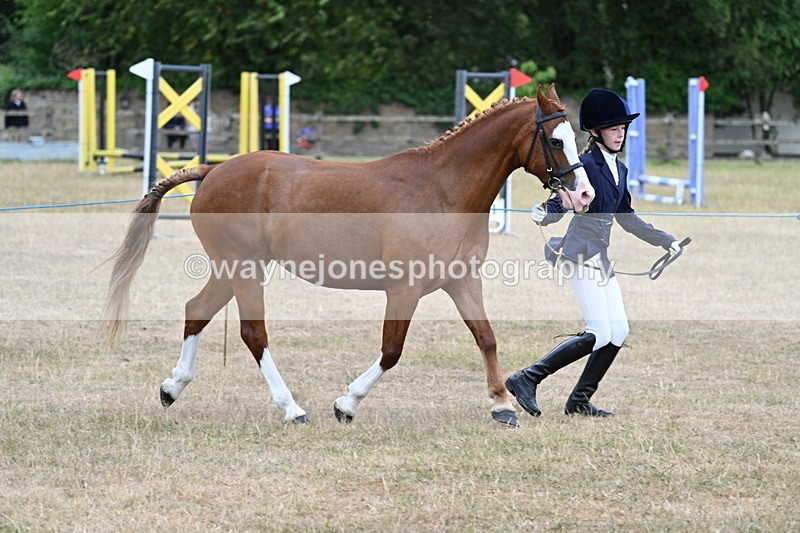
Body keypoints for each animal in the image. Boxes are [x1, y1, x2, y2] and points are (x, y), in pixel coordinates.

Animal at [103, 84, 594, 427]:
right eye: (555, 141)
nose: (585, 194)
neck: (443, 190)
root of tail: (213, 170)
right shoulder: (405, 289)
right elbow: (392, 350)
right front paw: (347, 404)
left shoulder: (462, 282)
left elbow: (486, 338)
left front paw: (503, 405)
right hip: (243, 270)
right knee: (253, 334)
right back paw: (292, 409)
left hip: (231, 270)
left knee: (196, 312)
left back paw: (172, 388)